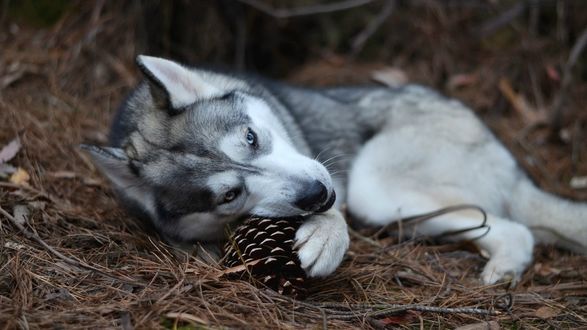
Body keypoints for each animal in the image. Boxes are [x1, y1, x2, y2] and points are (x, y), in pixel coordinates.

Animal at [84, 55, 587, 284]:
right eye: (229, 195)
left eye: (251, 137)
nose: (317, 194)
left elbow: (334, 219)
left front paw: (326, 236)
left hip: (371, 186)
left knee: (518, 229)